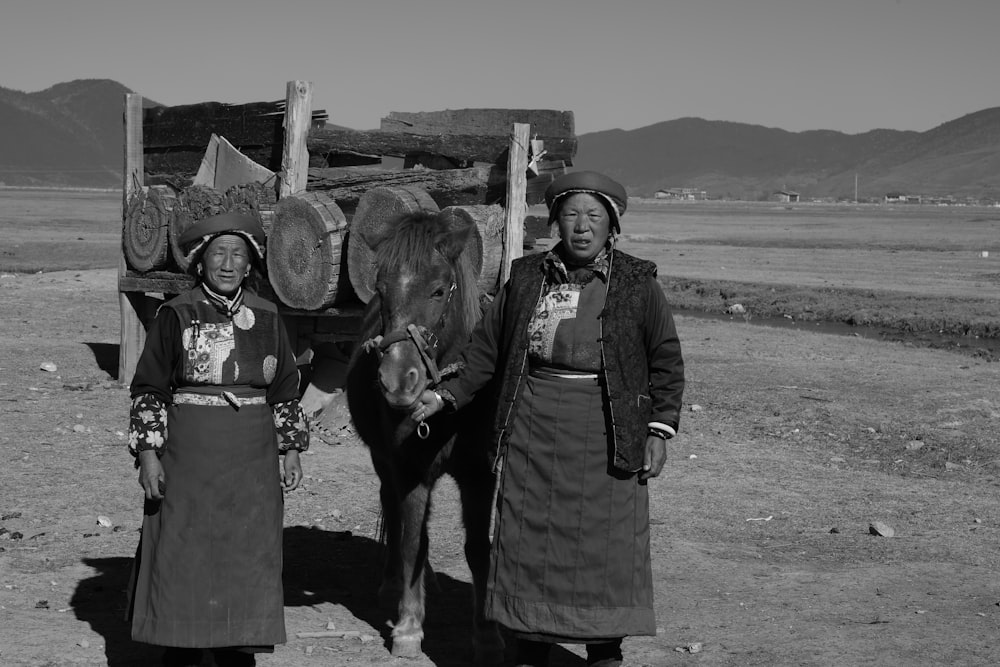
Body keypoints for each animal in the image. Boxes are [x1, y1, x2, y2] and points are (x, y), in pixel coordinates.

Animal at [348, 210, 508, 664]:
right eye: (381, 289)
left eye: (438, 290)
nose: (398, 381)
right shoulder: (410, 471)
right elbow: (410, 541)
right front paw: (408, 626)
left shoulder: (479, 476)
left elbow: (478, 548)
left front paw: (487, 634)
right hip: (383, 461)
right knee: (395, 511)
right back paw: (392, 585)